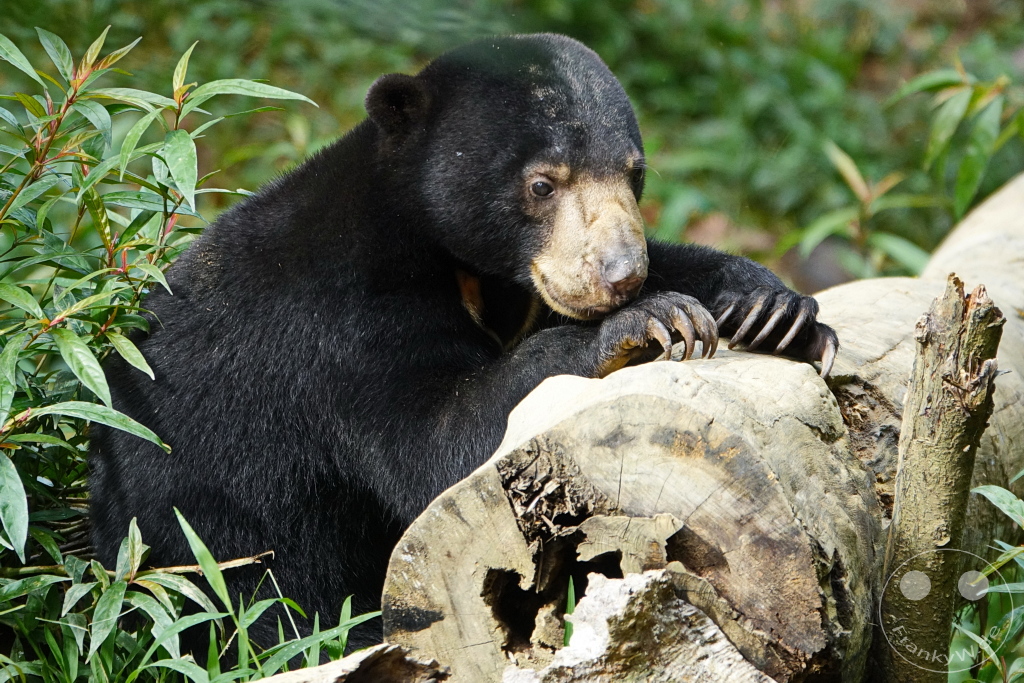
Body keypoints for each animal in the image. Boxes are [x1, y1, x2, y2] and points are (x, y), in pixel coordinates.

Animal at [89, 33, 838, 650]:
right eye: (543, 183)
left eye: (634, 173)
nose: (619, 273)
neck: (442, 250)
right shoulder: (342, 318)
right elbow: (436, 442)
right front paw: (649, 322)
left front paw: (771, 309)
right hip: (206, 532)